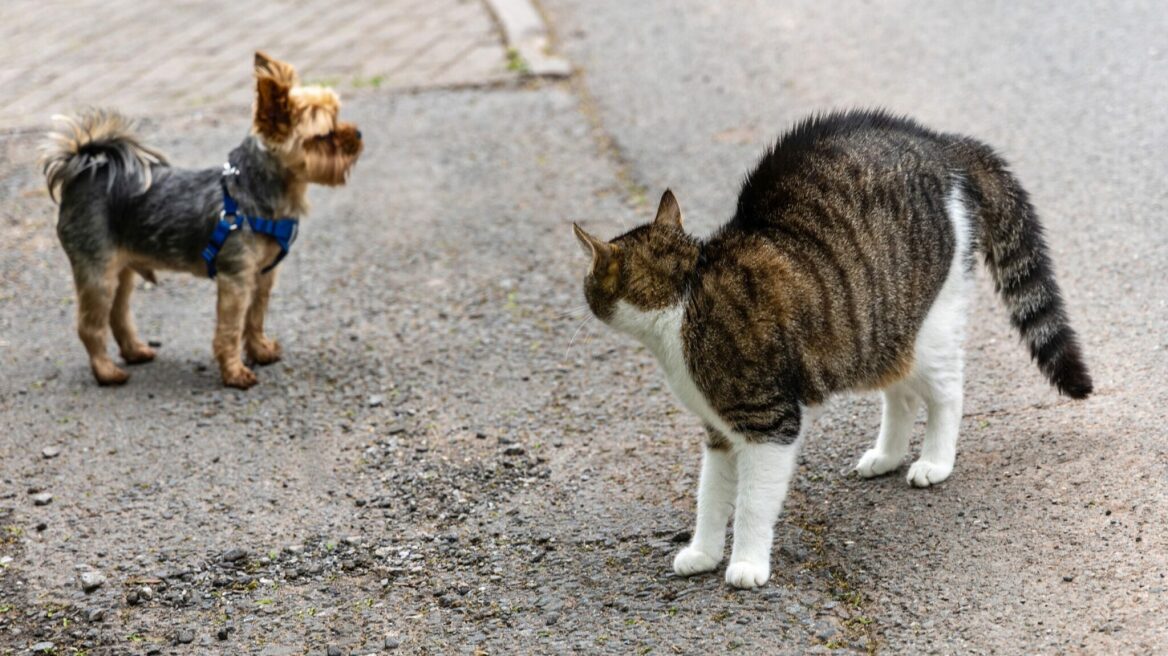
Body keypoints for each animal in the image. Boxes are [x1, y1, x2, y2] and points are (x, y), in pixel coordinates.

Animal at [42, 53, 359, 387]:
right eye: (325, 135)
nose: (358, 135)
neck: (255, 191)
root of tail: (82, 170)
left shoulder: (262, 275)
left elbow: (255, 317)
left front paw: (260, 351)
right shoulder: (236, 278)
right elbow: (231, 328)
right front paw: (234, 373)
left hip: (121, 270)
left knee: (118, 315)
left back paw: (135, 352)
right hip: (97, 273)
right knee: (90, 327)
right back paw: (107, 372)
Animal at [569, 108, 1088, 588]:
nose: (581, 291)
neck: (685, 290)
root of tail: (940, 141)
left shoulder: (769, 422)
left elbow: (752, 503)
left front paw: (747, 564)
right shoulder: (720, 431)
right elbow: (711, 496)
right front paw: (703, 552)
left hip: (929, 327)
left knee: (946, 393)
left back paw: (935, 461)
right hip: (878, 335)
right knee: (901, 395)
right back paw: (887, 455)